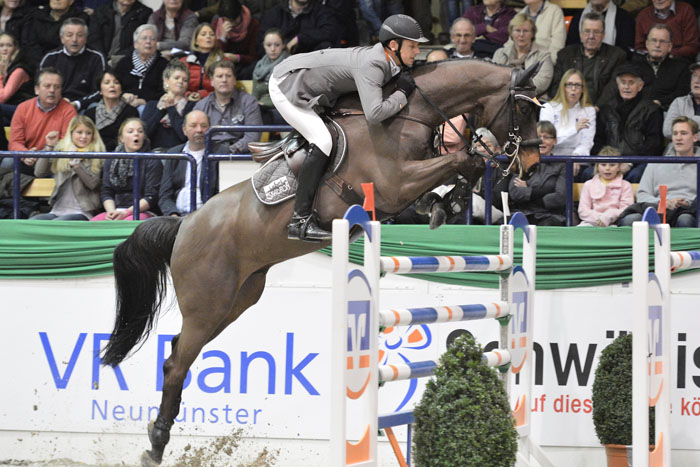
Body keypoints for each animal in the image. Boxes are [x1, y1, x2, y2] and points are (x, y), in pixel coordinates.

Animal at [101, 58, 543, 465]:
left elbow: (459, 168)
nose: (532, 166)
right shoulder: (396, 183)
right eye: (524, 110)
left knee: (179, 353)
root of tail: (185, 224)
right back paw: (156, 444)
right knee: (176, 364)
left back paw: (158, 437)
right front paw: (449, 198)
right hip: (207, 305)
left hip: (235, 301)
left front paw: (444, 203)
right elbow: (462, 161)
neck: (407, 112)